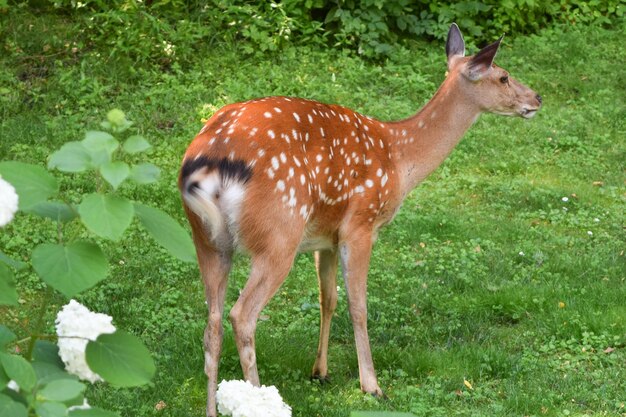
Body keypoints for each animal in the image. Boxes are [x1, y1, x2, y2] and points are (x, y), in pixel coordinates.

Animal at [178, 23, 540, 416]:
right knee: (242, 315)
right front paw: (372, 385)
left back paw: (211, 408)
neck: (399, 158)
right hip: (278, 234)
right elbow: (359, 305)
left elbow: (328, 298)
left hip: (208, 241)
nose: (537, 98)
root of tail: (208, 160)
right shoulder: (360, 224)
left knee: (212, 324)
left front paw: (320, 371)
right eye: (503, 76)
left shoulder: (325, 236)